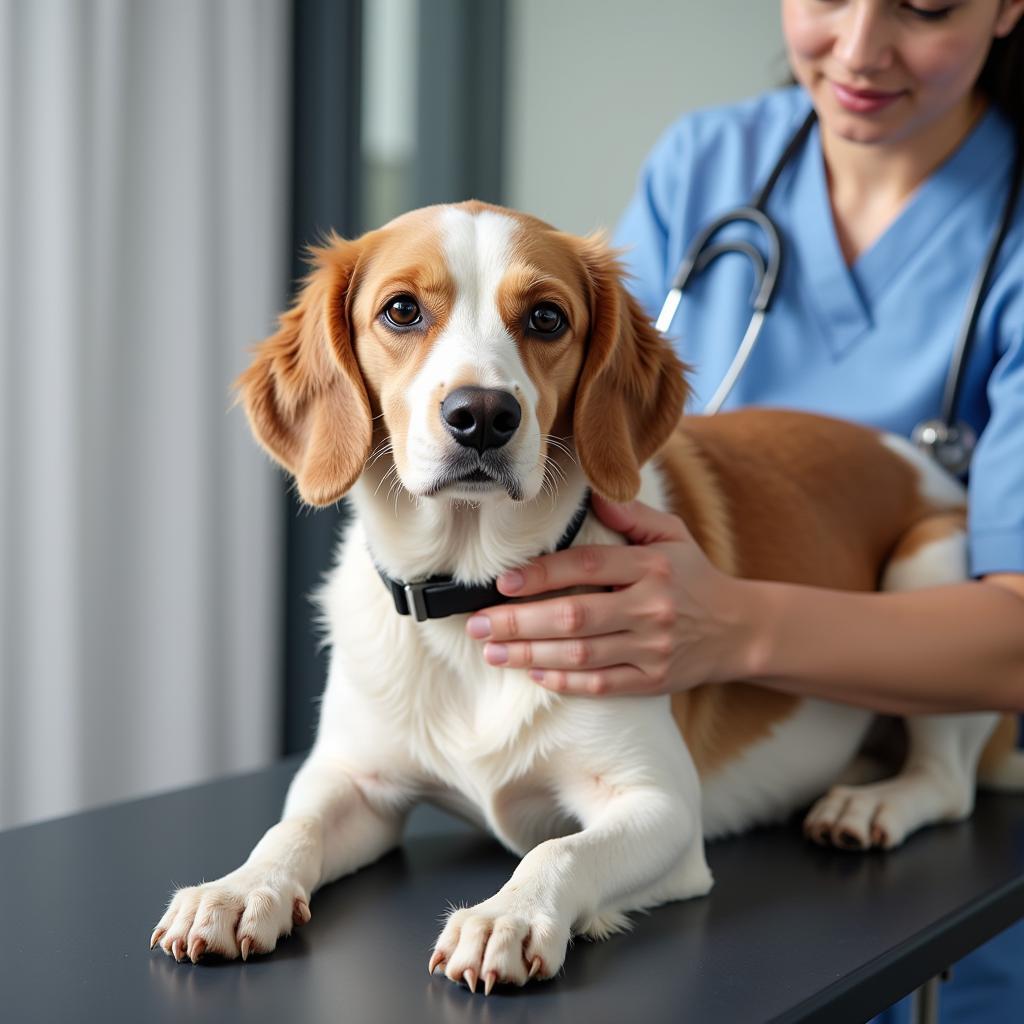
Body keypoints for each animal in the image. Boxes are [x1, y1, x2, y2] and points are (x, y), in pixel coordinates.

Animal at [148, 199, 1019, 991]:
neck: (474, 598)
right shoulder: (354, 784)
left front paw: (506, 915)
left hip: (929, 564)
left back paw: (871, 806)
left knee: (948, 783)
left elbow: (557, 848)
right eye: (401, 310)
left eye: (545, 317)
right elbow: (289, 829)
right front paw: (236, 890)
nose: (482, 415)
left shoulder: (662, 806)